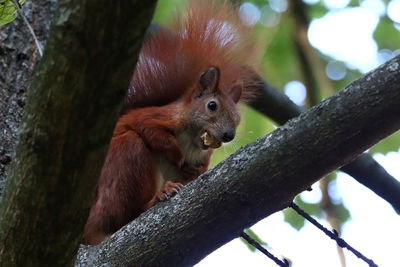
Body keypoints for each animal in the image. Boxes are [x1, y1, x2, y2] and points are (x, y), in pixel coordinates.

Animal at [83, 0, 260, 246]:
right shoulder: (157, 117)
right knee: (120, 216)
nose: (228, 136)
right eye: (212, 106)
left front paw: (193, 169)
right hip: (126, 159)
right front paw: (177, 156)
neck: (193, 140)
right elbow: (152, 131)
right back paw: (157, 196)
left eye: (238, 118)